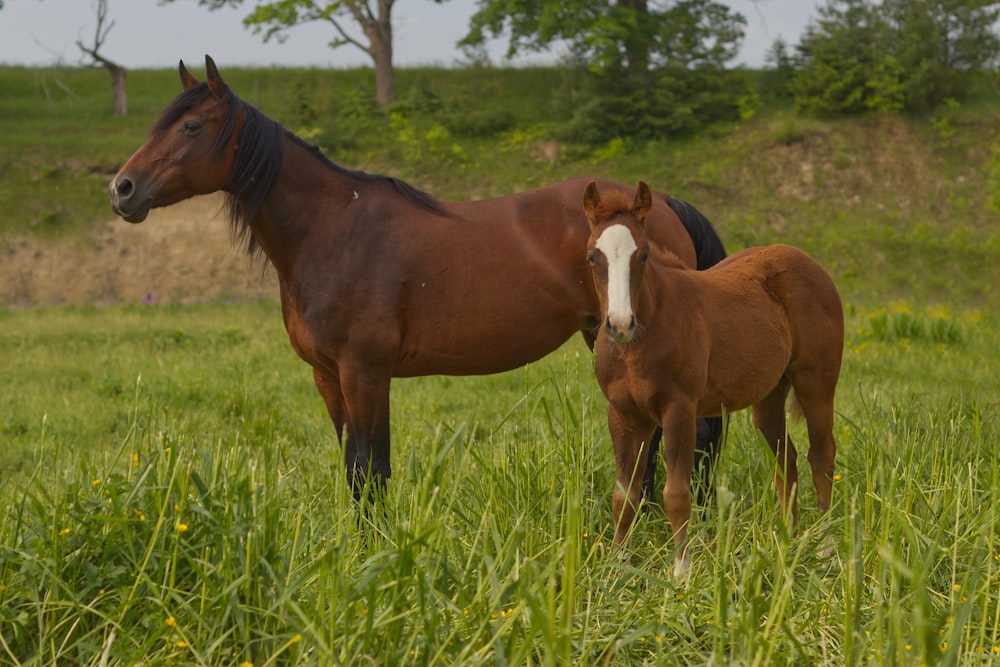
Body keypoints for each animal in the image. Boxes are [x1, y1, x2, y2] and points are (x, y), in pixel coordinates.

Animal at [111, 57, 728, 504]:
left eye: (191, 126)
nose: (122, 189)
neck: (335, 231)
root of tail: (662, 203)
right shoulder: (327, 378)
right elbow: (352, 469)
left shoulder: (366, 373)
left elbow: (371, 470)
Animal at [584, 180, 844, 576]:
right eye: (592, 257)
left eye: (642, 255)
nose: (620, 325)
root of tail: (810, 263)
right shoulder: (624, 415)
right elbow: (624, 496)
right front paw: (618, 568)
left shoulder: (678, 410)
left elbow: (676, 494)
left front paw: (681, 574)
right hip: (769, 395)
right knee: (786, 459)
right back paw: (787, 542)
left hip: (816, 382)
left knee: (821, 455)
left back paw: (826, 548)